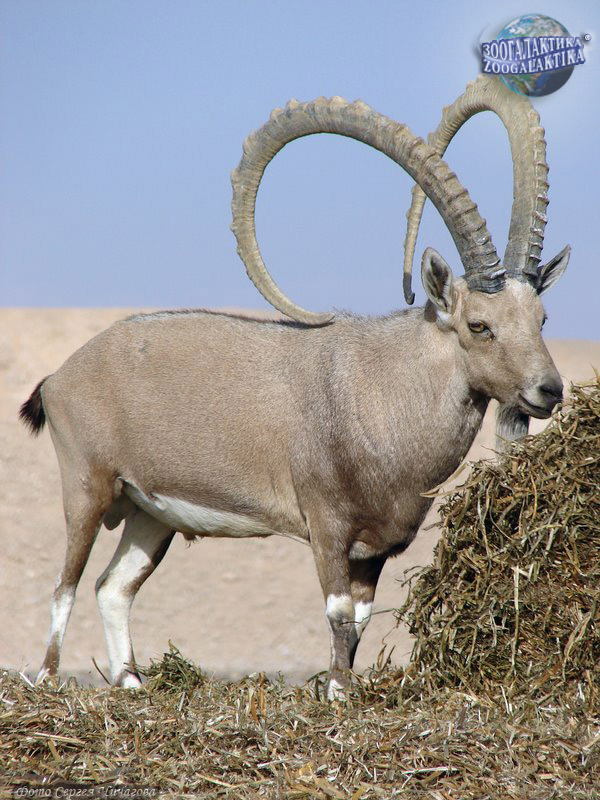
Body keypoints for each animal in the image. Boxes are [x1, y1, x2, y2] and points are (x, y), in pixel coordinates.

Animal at [20, 77, 569, 699]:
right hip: (87, 487)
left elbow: (358, 620)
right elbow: (336, 612)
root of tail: (61, 376)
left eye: (542, 317)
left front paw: (342, 689)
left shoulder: (376, 548)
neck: (382, 390)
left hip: (149, 513)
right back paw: (47, 678)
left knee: (113, 586)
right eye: (479, 325)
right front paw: (337, 696)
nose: (548, 390)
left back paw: (131, 683)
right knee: (66, 583)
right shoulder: (326, 526)